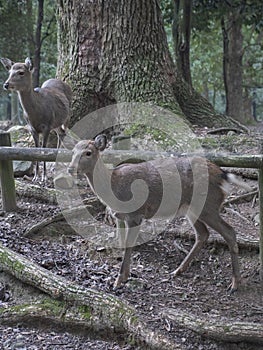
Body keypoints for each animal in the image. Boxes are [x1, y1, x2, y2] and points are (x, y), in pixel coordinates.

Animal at [66, 134, 252, 292]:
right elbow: (122, 243)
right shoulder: (120, 217)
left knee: (229, 232)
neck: (113, 189)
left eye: (88, 152)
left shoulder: (136, 215)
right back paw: (178, 270)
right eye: (73, 151)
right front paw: (122, 276)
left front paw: (119, 281)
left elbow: (128, 245)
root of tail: (223, 175)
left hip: (208, 205)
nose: (70, 169)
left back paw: (235, 284)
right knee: (202, 234)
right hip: (192, 209)